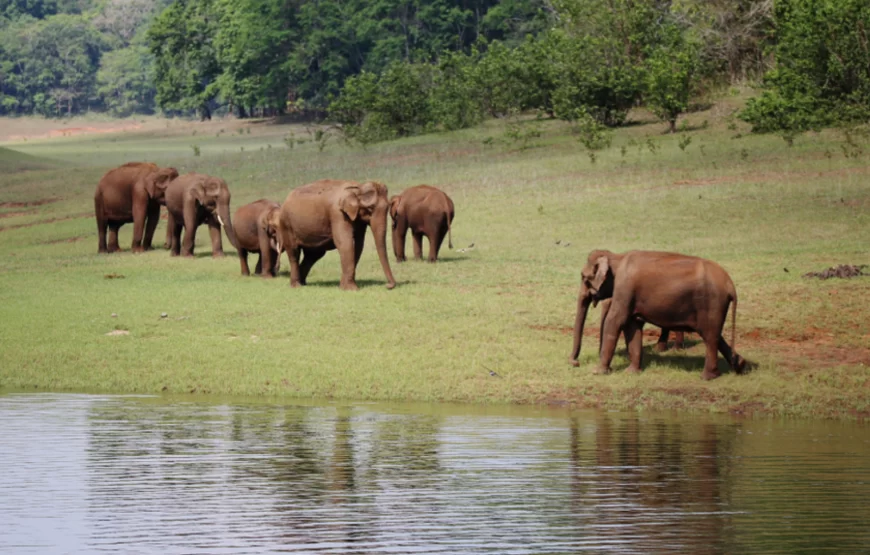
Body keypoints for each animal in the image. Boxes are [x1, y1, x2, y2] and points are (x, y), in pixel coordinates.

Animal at [572, 250, 748, 380]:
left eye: (583, 277)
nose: (575, 363)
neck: (617, 257)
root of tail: (730, 285)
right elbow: (632, 325)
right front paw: (631, 372)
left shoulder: (624, 288)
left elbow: (615, 321)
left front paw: (597, 372)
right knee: (715, 335)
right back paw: (739, 365)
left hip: (712, 303)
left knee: (710, 337)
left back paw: (706, 377)